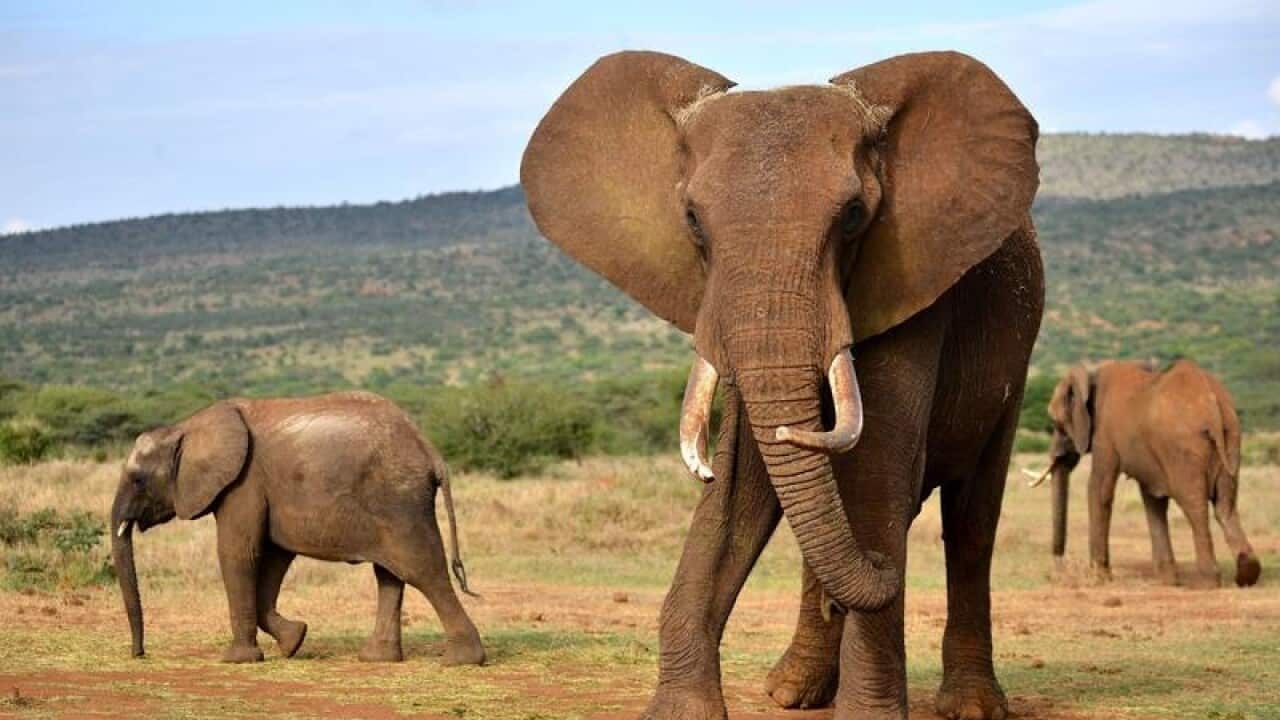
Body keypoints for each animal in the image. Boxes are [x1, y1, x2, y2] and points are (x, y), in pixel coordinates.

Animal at [110, 391, 486, 665]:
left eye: (138, 479)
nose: (139, 653)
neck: (186, 427)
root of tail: (430, 450)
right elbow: (273, 557)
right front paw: (295, 640)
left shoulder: (243, 484)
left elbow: (238, 553)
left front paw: (238, 660)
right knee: (390, 575)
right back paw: (377, 658)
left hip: (399, 501)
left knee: (423, 570)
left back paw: (462, 661)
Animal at [521, 50, 1042, 720]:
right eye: (692, 220)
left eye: (854, 217)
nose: (882, 563)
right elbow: (742, 484)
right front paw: (682, 710)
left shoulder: (912, 278)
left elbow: (877, 473)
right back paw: (794, 691)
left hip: (1017, 361)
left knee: (973, 521)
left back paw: (971, 705)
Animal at [1030, 359, 1261, 588]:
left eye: (1056, 422)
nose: (1056, 572)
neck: (1091, 373)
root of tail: (1212, 405)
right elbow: (1153, 499)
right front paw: (1168, 581)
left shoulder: (1104, 434)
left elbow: (1099, 488)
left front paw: (1099, 578)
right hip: (1231, 437)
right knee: (1225, 506)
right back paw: (1247, 574)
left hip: (1184, 449)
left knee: (1195, 507)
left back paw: (1207, 582)